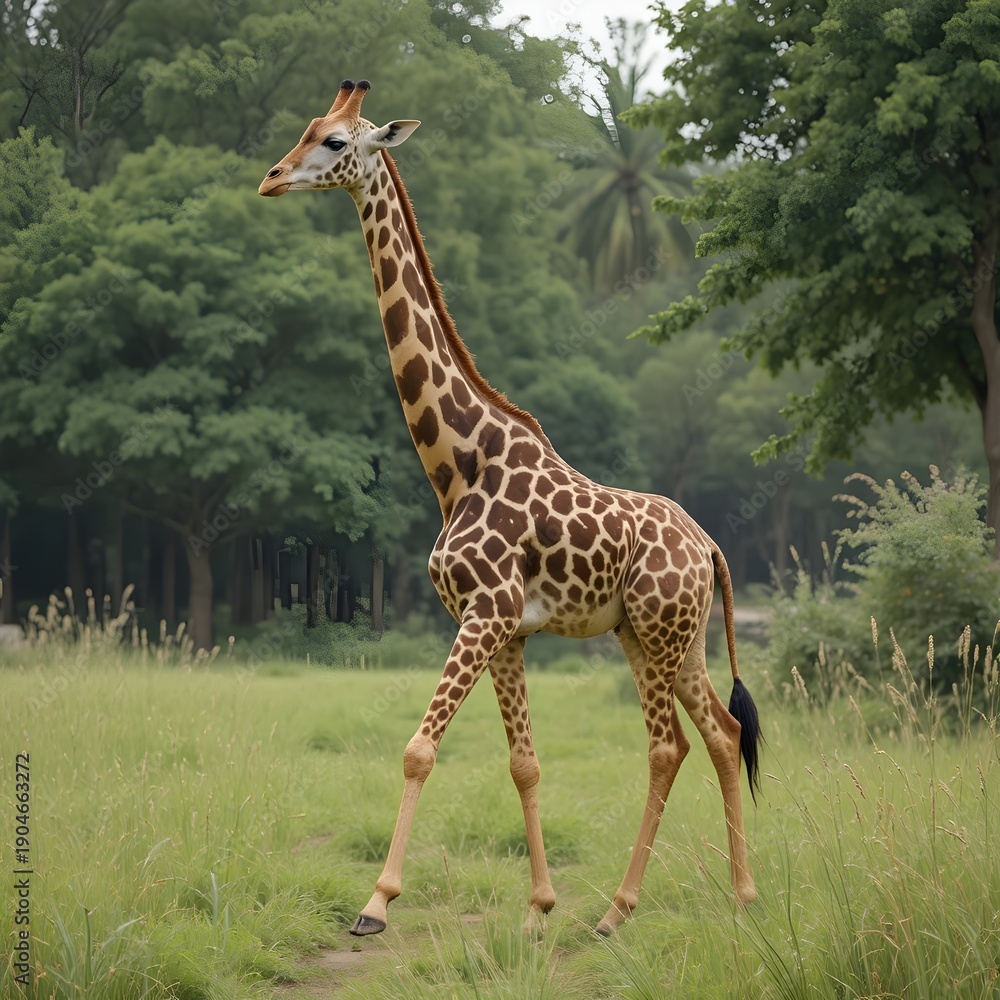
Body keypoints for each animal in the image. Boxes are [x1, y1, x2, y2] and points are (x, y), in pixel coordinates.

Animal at [259, 79, 762, 938]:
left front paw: (376, 903)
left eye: (333, 141)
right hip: (664, 637)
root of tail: (710, 548)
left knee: (670, 746)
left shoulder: (485, 613)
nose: (270, 179)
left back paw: (622, 911)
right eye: (306, 128)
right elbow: (523, 762)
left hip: (660, 634)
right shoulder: (506, 629)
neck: (458, 464)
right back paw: (738, 897)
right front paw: (538, 908)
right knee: (722, 737)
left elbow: (418, 749)